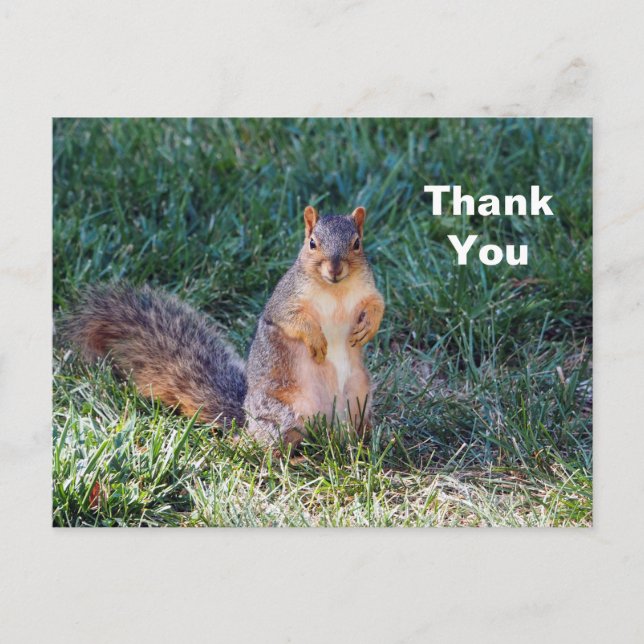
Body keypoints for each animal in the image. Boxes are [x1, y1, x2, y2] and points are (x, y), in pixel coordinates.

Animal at [65, 205, 385, 448]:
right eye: (312, 243)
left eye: (357, 243)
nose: (335, 269)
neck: (335, 290)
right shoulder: (285, 300)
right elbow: (292, 320)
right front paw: (316, 339)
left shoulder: (367, 291)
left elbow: (377, 305)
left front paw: (368, 327)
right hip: (285, 414)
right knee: (266, 447)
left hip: (359, 397)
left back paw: (364, 442)